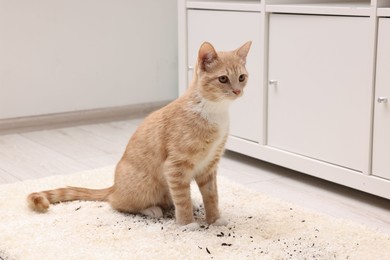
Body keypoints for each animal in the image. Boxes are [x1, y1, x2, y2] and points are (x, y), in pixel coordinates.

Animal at [28, 41, 253, 230]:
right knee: (118, 204)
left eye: (241, 77)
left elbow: (212, 196)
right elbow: (182, 199)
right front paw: (187, 224)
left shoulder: (209, 166)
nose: (237, 91)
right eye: (223, 79)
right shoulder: (176, 167)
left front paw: (214, 219)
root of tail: (114, 187)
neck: (213, 111)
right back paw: (151, 209)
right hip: (145, 186)